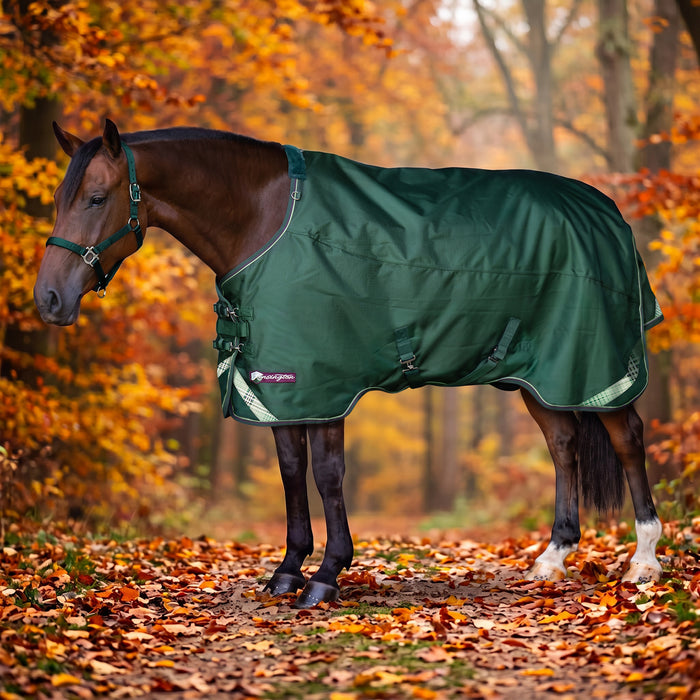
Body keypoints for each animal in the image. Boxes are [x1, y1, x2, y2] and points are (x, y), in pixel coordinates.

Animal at [34, 120, 664, 608]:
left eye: (96, 198)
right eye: (60, 199)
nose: (49, 300)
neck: (266, 220)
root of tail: (608, 210)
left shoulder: (324, 382)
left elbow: (328, 475)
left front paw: (327, 576)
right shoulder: (279, 385)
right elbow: (292, 473)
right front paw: (287, 571)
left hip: (598, 365)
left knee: (627, 438)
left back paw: (644, 562)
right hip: (541, 374)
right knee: (563, 442)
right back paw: (552, 559)